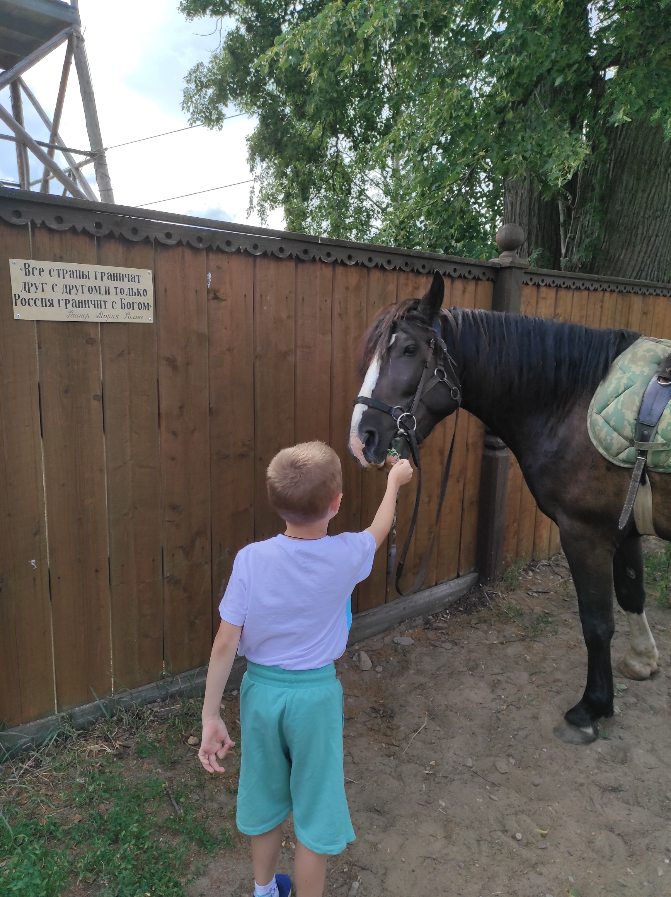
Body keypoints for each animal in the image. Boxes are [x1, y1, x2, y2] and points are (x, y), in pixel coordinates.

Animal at [349, 272, 671, 745]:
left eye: (408, 350)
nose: (362, 439)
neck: (574, 401)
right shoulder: (623, 526)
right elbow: (632, 593)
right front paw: (643, 661)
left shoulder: (585, 533)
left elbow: (596, 622)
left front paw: (591, 707)